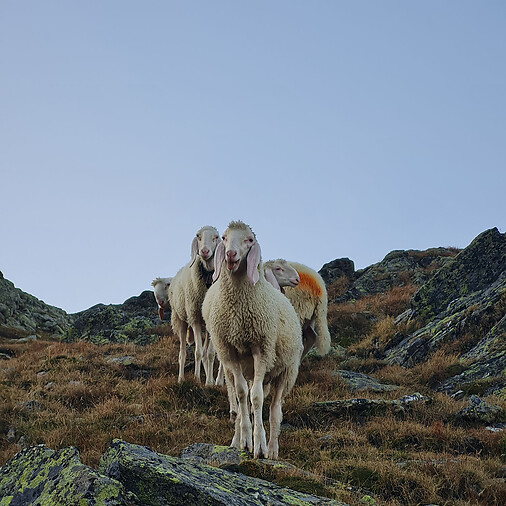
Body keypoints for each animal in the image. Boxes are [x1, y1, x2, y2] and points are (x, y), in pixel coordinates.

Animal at [168, 225, 221, 384]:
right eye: (198, 236)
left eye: (216, 237)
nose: (204, 251)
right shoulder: (195, 318)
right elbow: (198, 352)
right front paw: (197, 379)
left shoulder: (212, 322)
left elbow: (209, 353)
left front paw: (209, 383)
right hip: (180, 320)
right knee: (182, 353)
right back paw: (181, 379)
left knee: (205, 352)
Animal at [202, 221, 303, 459]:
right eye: (225, 237)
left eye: (249, 240)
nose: (230, 254)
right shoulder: (229, 352)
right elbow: (242, 395)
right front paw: (245, 441)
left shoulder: (262, 350)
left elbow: (256, 398)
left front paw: (259, 445)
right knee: (244, 402)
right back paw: (237, 439)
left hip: (285, 372)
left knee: (275, 411)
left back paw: (273, 450)